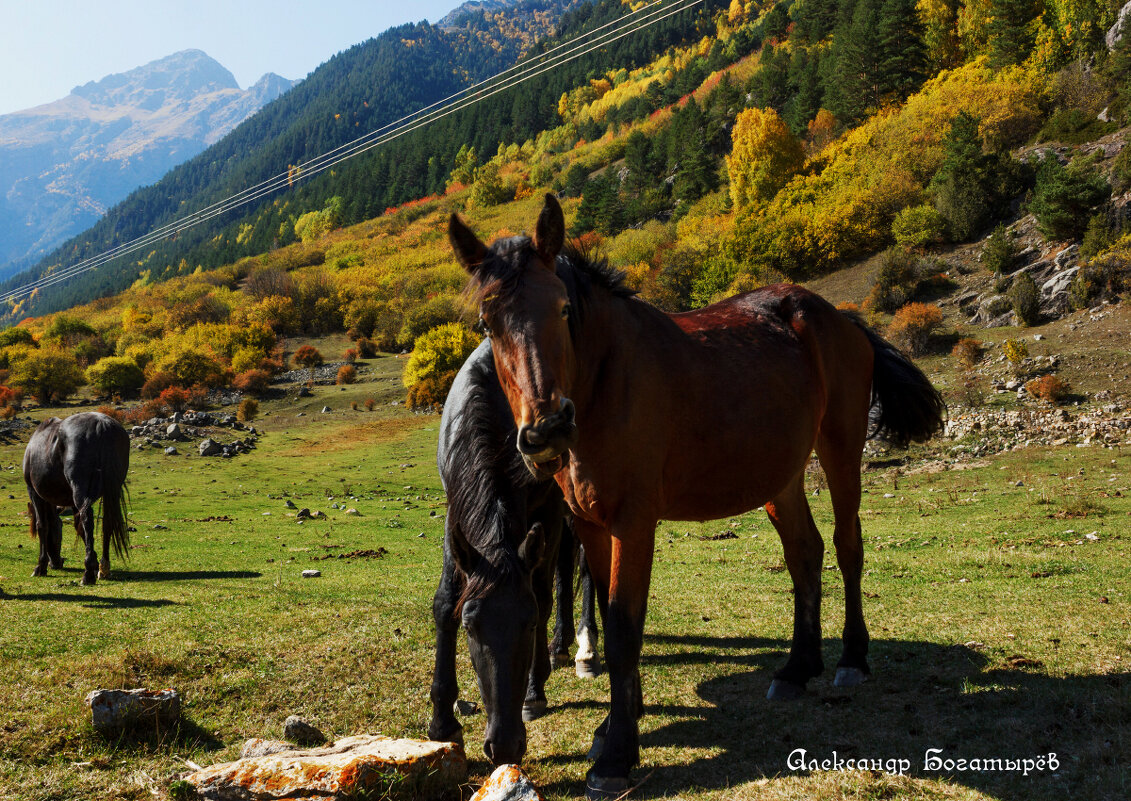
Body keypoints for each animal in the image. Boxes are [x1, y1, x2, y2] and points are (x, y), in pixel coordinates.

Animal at [24, 409, 130, 583]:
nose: (57, 562)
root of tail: (102, 424)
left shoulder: (35, 493)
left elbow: (42, 525)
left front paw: (40, 566)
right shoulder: (72, 501)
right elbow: (79, 528)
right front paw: (94, 563)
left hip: (80, 492)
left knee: (88, 520)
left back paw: (87, 574)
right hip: (110, 492)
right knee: (106, 523)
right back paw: (103, 568)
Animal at [427, 339, 601, 764]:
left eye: (529, 624)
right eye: (470, 627)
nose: (504, 745)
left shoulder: (546, 509)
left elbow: (541, 594)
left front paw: (533, 694)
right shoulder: (456, 512)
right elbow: (445, 601)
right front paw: (442, 723)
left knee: (583, 569)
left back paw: (585, 650)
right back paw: (560, 647)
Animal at [450, 192, 945, 796]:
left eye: (564, 310)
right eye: (487, 323)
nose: (546, 430)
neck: (605, 381)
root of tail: (835, 315)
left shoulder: (634, 521)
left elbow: (623, 626)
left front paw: (617, 754)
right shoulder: (589, 523)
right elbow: (608, 614)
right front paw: (615, 724)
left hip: (840, 447)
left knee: (848, 546)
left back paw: (852, 657)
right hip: (779, 477)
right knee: (805, 553)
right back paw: (797, 667)